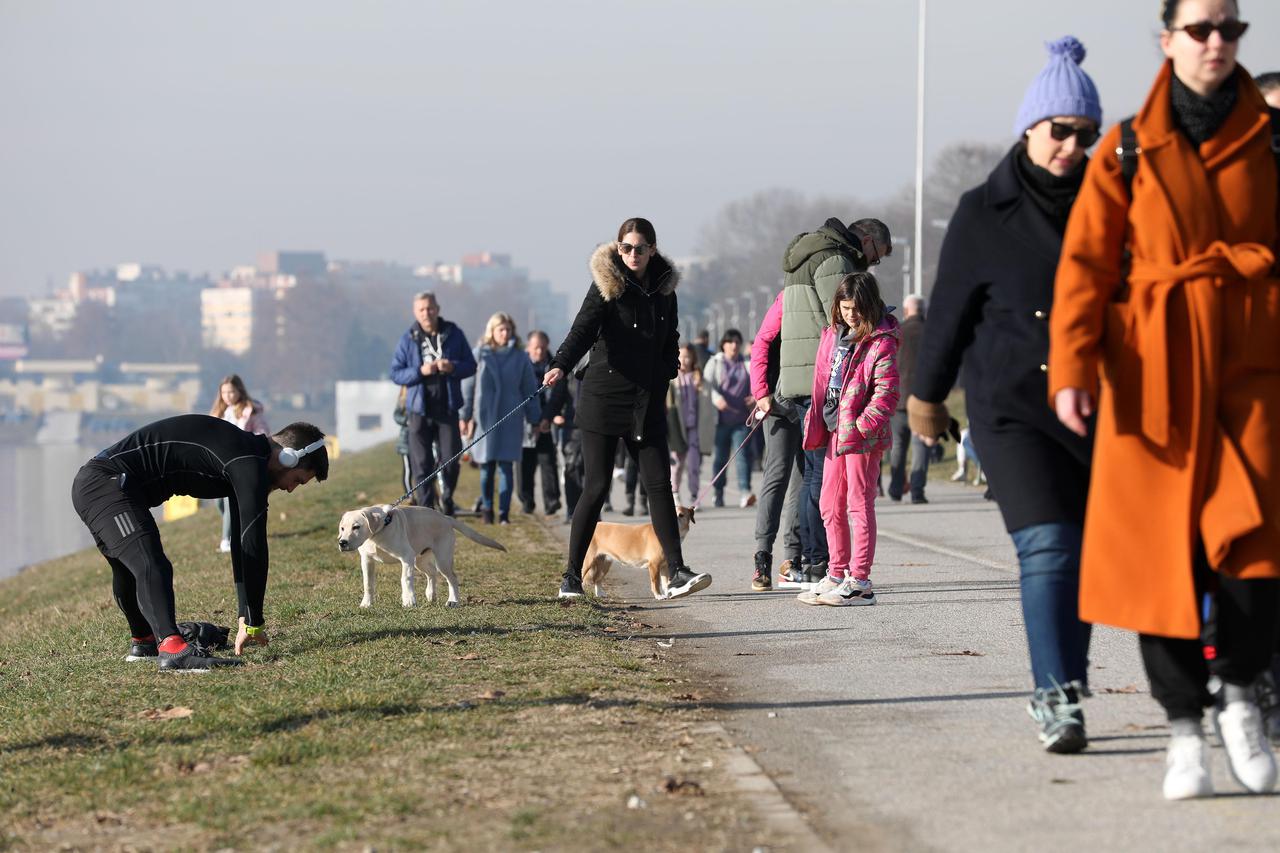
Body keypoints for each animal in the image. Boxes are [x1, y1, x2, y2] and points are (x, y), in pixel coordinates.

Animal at [337, 502, 501, 607]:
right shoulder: (367, 560)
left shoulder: (406, 557)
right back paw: (431, 595)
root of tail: (445, 517)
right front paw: (366, 603)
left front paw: (409, 601)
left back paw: (453, 601)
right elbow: (368, 583)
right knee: (432, 573)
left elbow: (405, 579)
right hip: (420, 560)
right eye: (342, 528)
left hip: (442, 559)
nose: (342, 542)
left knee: (452, 578)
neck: (378, 533)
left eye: (356, 527)